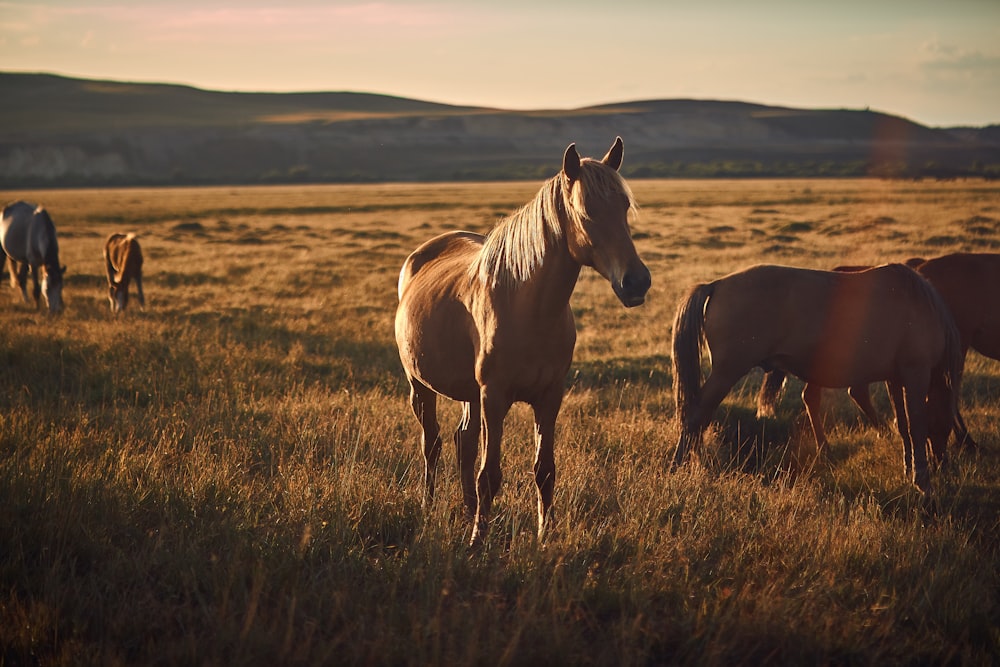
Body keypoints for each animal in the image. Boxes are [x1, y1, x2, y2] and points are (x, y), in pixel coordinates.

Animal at [394, 137, 652, 548]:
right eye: (586, 211)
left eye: (624, 207)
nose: (636, 282)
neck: (528, 308)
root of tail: (419, 257)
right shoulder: (494, 396)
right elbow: (490, 474)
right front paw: (477, 543)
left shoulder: (549, 396)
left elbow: (544, 469)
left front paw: (544, 536)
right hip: (421, 385)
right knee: (432, 443)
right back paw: (428, 508)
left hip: (469, 394)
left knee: (463, 441)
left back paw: (468, 511)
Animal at [672, 264, 960, 498]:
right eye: (945, 424)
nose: (944, 464)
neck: (920, 305)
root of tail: (716, 284)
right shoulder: (915, 373)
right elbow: (916, 425)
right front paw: (922, 481)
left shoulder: (895, 378)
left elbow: (903, 424)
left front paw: (909, 468)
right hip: (727, 372)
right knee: (694, 418)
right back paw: (677, 467)